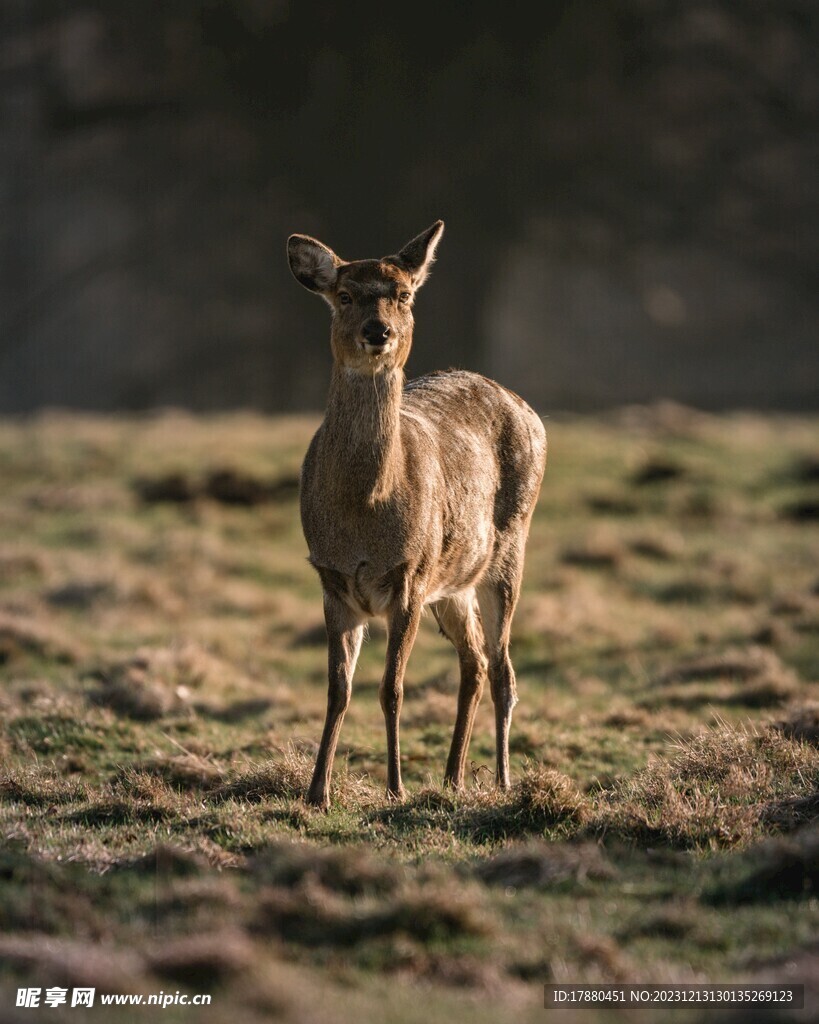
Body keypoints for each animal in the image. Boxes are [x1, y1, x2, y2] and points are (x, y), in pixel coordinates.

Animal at [284, 222, 548, 806]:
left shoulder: (409, 576)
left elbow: (391, 689)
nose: (377, 331)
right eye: (345, 295)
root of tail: (525, 406)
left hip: (507, 551)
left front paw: (396, 787)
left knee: (503, 667)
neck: (364, 512)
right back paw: (452, 777)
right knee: (474, 662)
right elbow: (338, 691)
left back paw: (502, 779)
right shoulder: (332, 581)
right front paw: (317, 792)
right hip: (452, 584)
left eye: (403, 294)